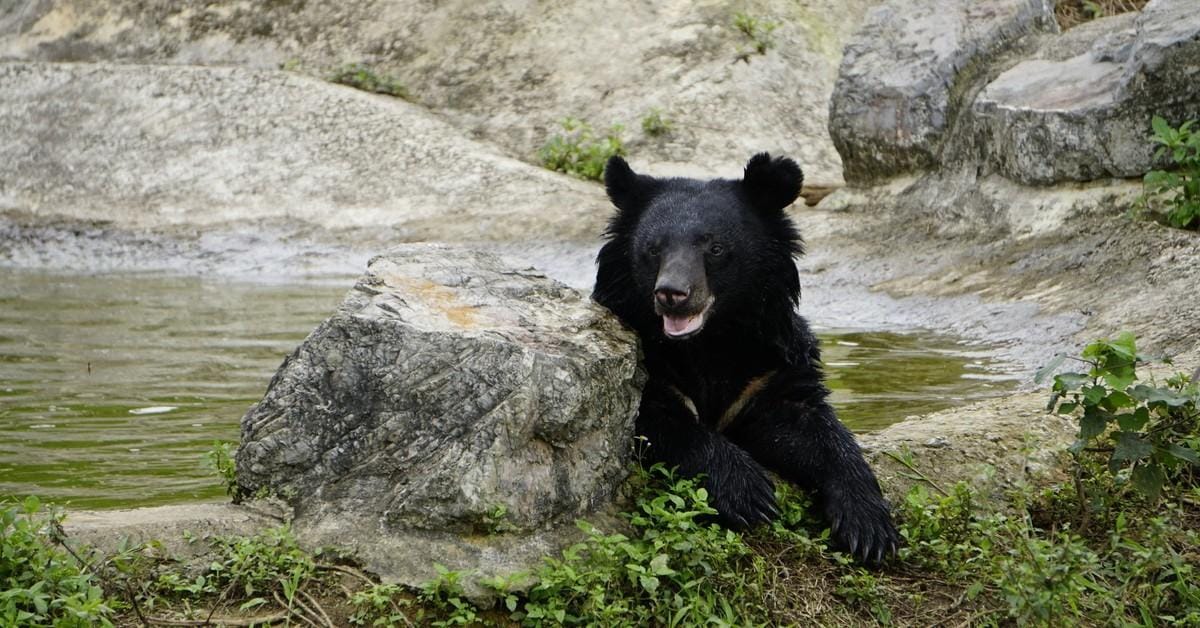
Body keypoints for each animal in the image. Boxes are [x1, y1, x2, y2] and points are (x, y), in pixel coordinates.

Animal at [593, 153, 899, 563]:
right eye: (653, 249)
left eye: (715, 248)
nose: (672, 293)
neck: (710, 340)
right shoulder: (651, 364)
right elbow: (665, 421)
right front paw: (750, 493)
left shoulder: (766, 368)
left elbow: (814, 429)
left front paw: (870, 528)